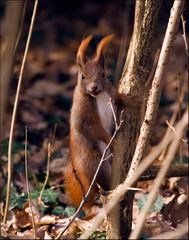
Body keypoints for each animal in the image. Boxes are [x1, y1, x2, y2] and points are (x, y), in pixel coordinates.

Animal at [63, 34, 139, 209]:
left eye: (103, 74)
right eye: (83, 76)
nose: (94, 87)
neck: (99, 96)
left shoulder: (112, 93)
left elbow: (120, 98)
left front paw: (133, 100)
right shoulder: (85, 116)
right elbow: (95, 129)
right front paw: (114, 142)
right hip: (96, 163)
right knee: (102, 184)